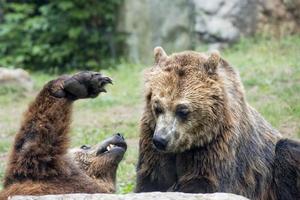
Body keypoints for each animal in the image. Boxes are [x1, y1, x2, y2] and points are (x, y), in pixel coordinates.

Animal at [136, 48, 284, 200]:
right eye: (157, 107)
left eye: (182, 110)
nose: (161, 140)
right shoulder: (150, 140)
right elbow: (151, 180)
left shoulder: (215, 143)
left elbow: (203, 182)